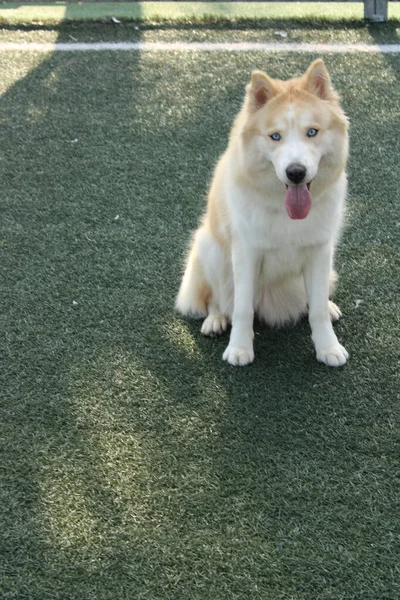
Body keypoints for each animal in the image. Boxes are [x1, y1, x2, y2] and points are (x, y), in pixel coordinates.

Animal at [177, 59, 348, 366]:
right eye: (275, 137)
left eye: (312, 132)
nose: (295, 172)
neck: (286, 213)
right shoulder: (246, 253)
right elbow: (242, 308)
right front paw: (239, 349)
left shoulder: (320, 250)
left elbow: (316, 309)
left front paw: (328, 347)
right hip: (209, 247)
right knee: (217, 298)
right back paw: (215, 320)